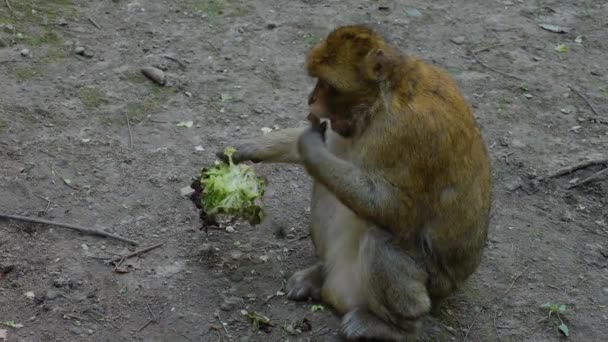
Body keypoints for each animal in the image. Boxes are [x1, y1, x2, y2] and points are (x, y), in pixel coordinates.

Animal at [216, 25, 492, 340]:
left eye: (328, 86)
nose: (311, 100)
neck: (383, 99)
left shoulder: (407, 132)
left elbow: (394, 208)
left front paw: (309, 146)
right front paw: (251, 147)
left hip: (433, 289)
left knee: (381, 237)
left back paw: (397, 328)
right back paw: (320, 274)